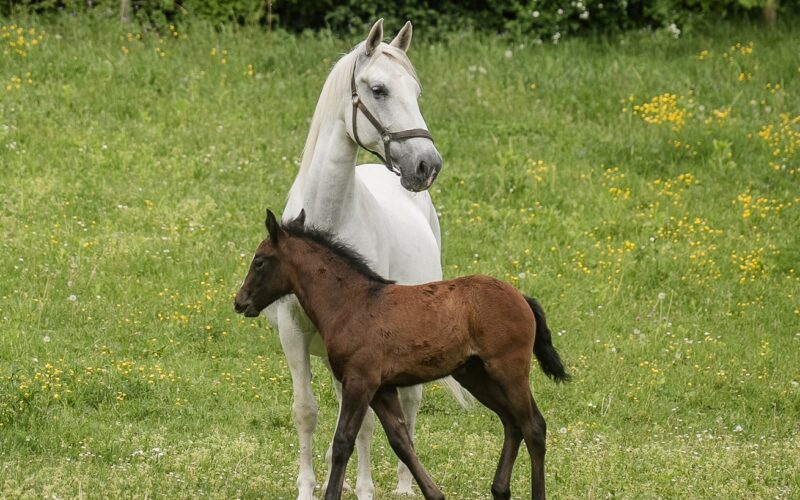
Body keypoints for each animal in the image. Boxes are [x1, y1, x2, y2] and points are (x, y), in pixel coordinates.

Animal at [235, 210, 570, 500]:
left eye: (260, 261)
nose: (240, 302)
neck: (351, 304)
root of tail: (521, 297)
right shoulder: (382, 388)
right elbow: (401, 442)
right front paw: (435, 494)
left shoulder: (360, 381)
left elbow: (344, 440)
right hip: (476, 375)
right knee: (511, 423)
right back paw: (499, 489)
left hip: (509, 370)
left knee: (533, 426)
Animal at [264, 19, 469, 499]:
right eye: (378, 89)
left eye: (416, 91)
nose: (426, 164)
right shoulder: (294, 334)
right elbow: (306, 410)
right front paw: (309, 487)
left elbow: (362, 426)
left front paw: (362, 489)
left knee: (408, 407)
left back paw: (402, 487)